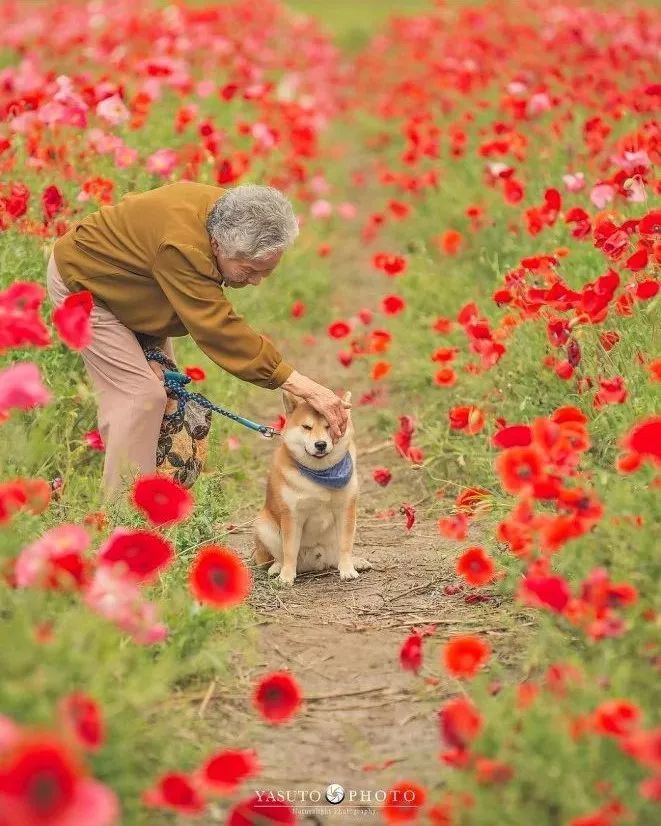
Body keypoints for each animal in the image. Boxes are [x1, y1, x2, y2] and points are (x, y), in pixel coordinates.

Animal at [251, 390, 368, 584]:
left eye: (329, 426)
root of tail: (315, 564)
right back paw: (277, 568)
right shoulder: (292, 515)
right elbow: (289, 550)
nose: (320, 444)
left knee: (336, 556)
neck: (320, 473)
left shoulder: (345, 509)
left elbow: (345, 546)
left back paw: (355, 562)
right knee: (279, 556)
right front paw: (286, 577)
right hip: (263, 526)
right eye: (307, 427)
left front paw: (348, 569)